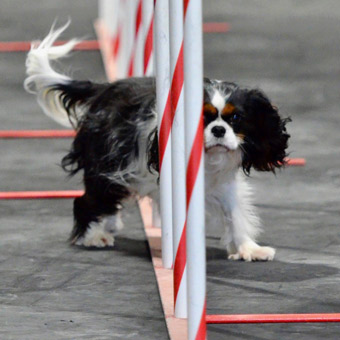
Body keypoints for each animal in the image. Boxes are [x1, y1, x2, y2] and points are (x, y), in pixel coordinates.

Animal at [23, 23, 290, 262]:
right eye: (202, 118)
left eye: (235, 118)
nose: (218, 129)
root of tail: (105, 89)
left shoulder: (223, 183)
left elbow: (235, 213)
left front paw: (249, 249)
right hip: (107, 161)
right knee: (90, 198)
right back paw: (93, 236)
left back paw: (110, 222)